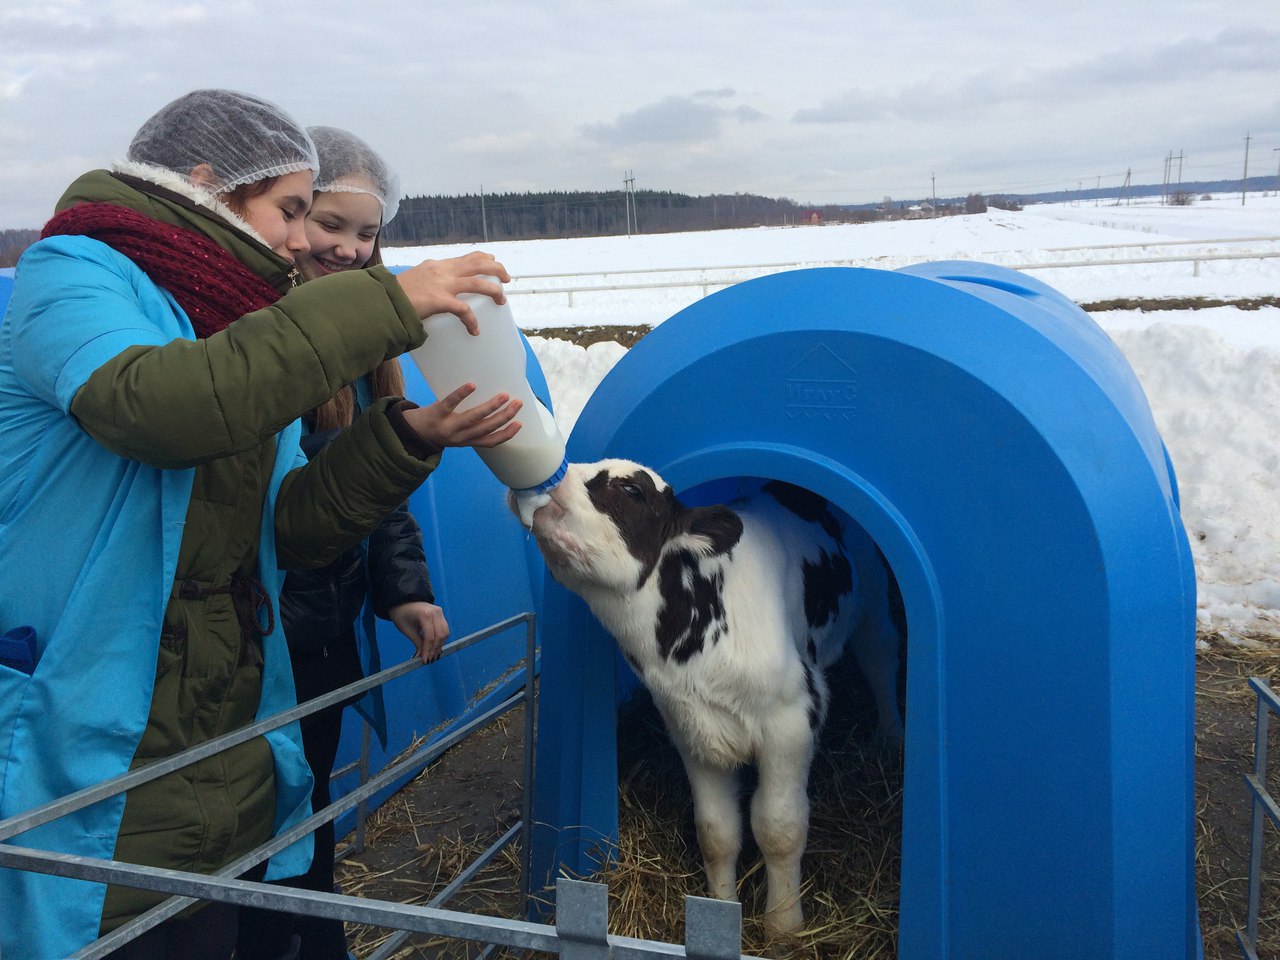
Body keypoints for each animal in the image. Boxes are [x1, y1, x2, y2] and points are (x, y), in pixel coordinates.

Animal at [509, 463, 901, 936]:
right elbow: (716, 831)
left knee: (880, 655)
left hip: (873, 591)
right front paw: (718, 912)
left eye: (632, 490)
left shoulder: (791, 719)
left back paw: (891, 738)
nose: (546, 484)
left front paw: (783, 926)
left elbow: (779, 827)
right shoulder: (692, 728)